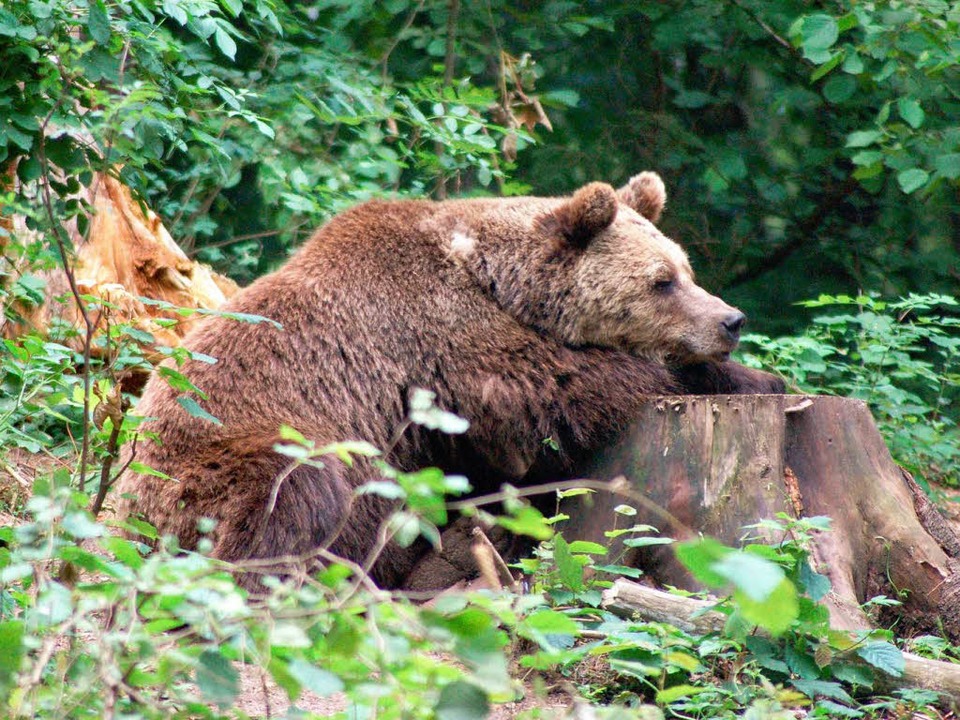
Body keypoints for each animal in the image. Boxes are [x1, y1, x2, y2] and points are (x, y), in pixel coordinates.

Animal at [116, 172, 784, 588]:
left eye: (685, 269)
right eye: (661, 281)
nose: (730, 319)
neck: (491, 274)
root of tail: (122, 512)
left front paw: (758, 376)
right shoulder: (443, 340)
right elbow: (563, 387)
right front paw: (726, 373)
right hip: (210, 467)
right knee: (296, 491)